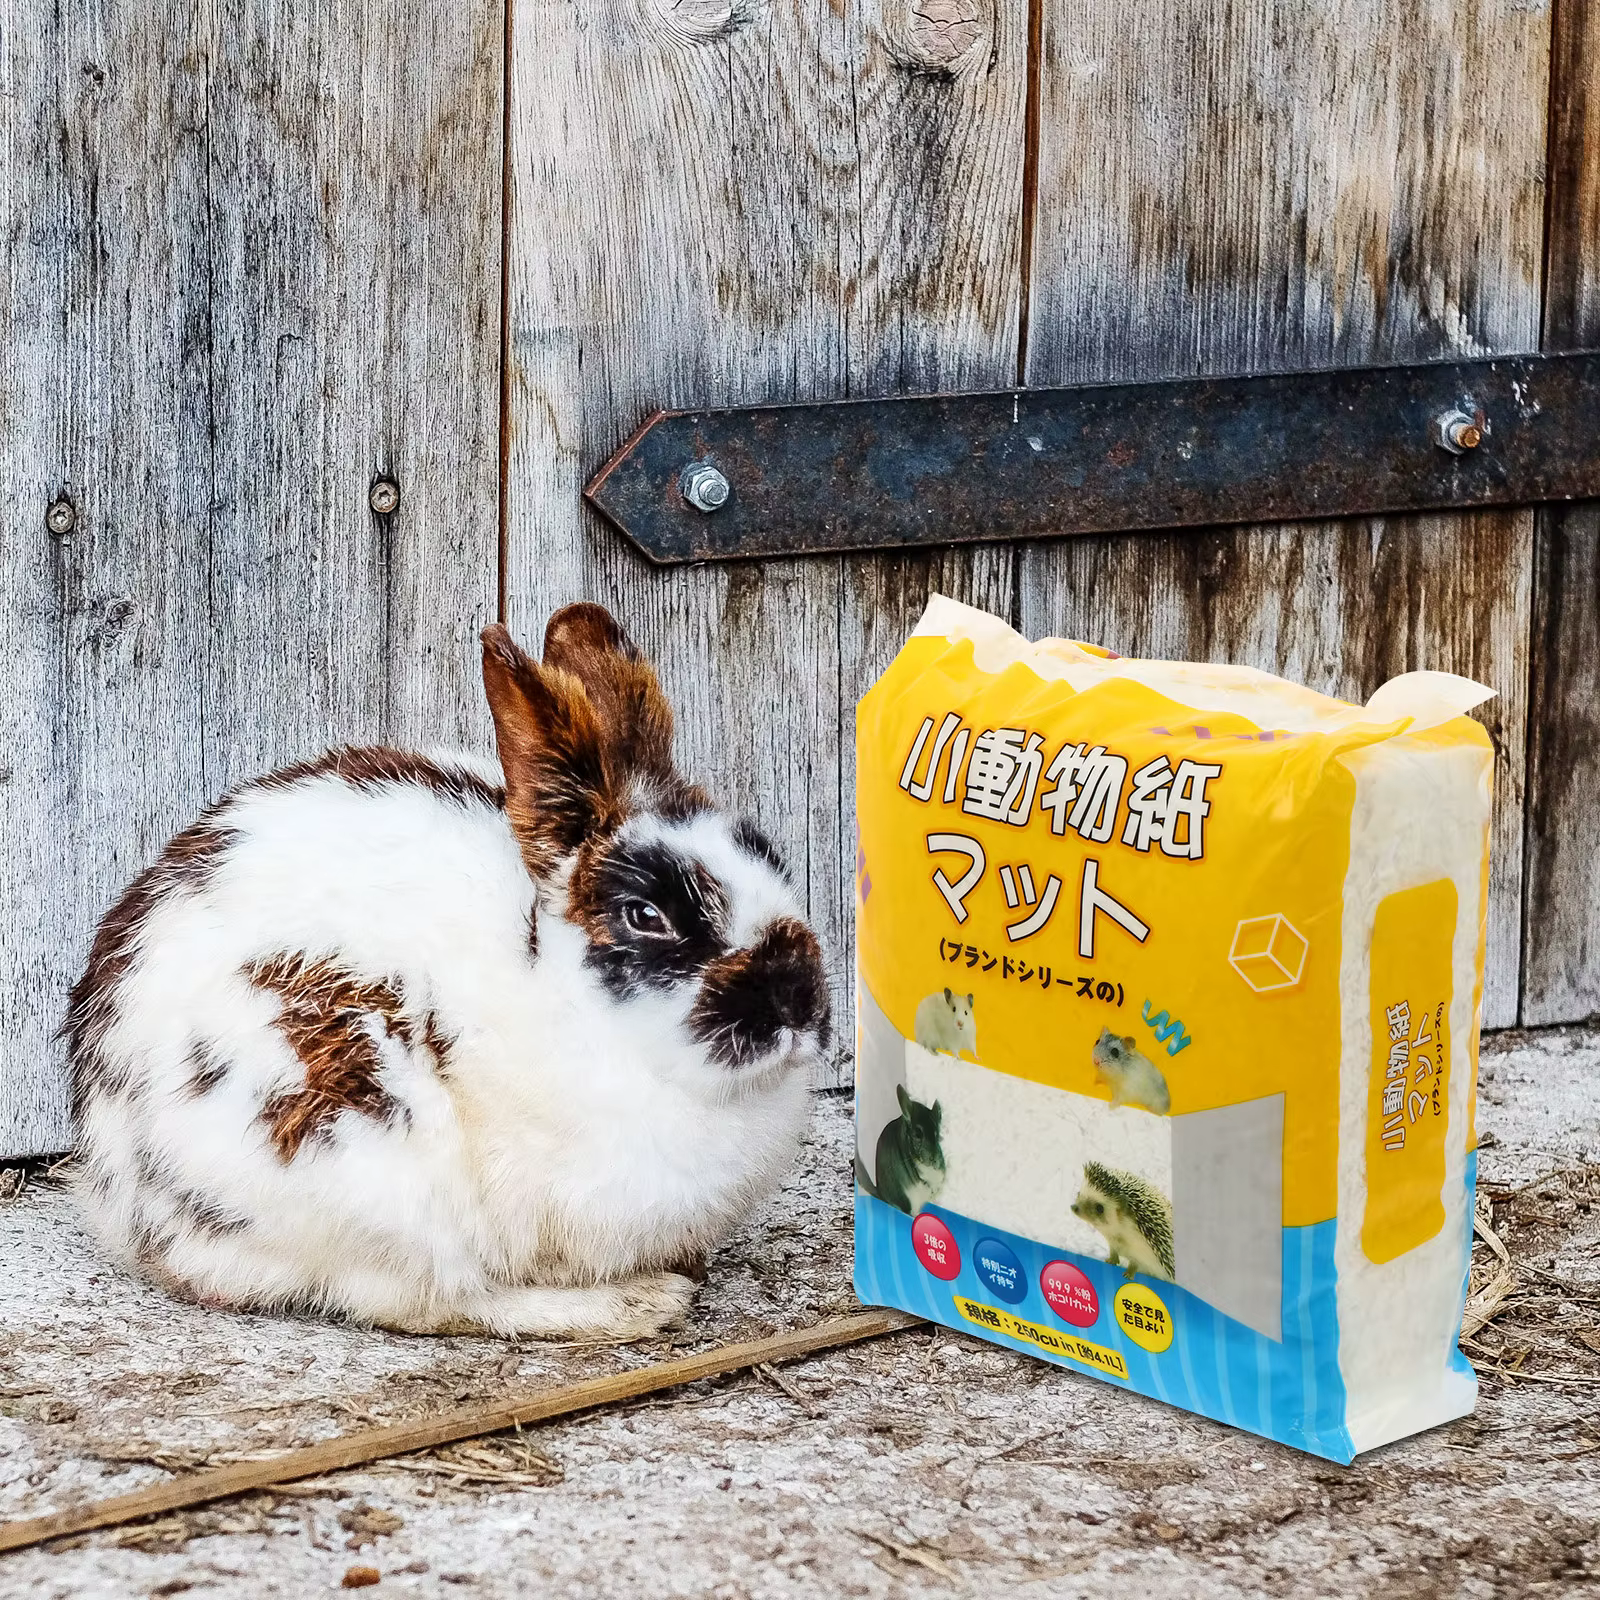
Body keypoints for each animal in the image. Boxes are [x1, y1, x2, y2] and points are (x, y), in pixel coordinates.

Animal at [64, 604, 830, 1341]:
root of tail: (124, 1196)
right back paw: (635, 1305)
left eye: (770, 857)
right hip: (368, 1146)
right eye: (646, 915)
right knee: (432, 1300)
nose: (797, 999)